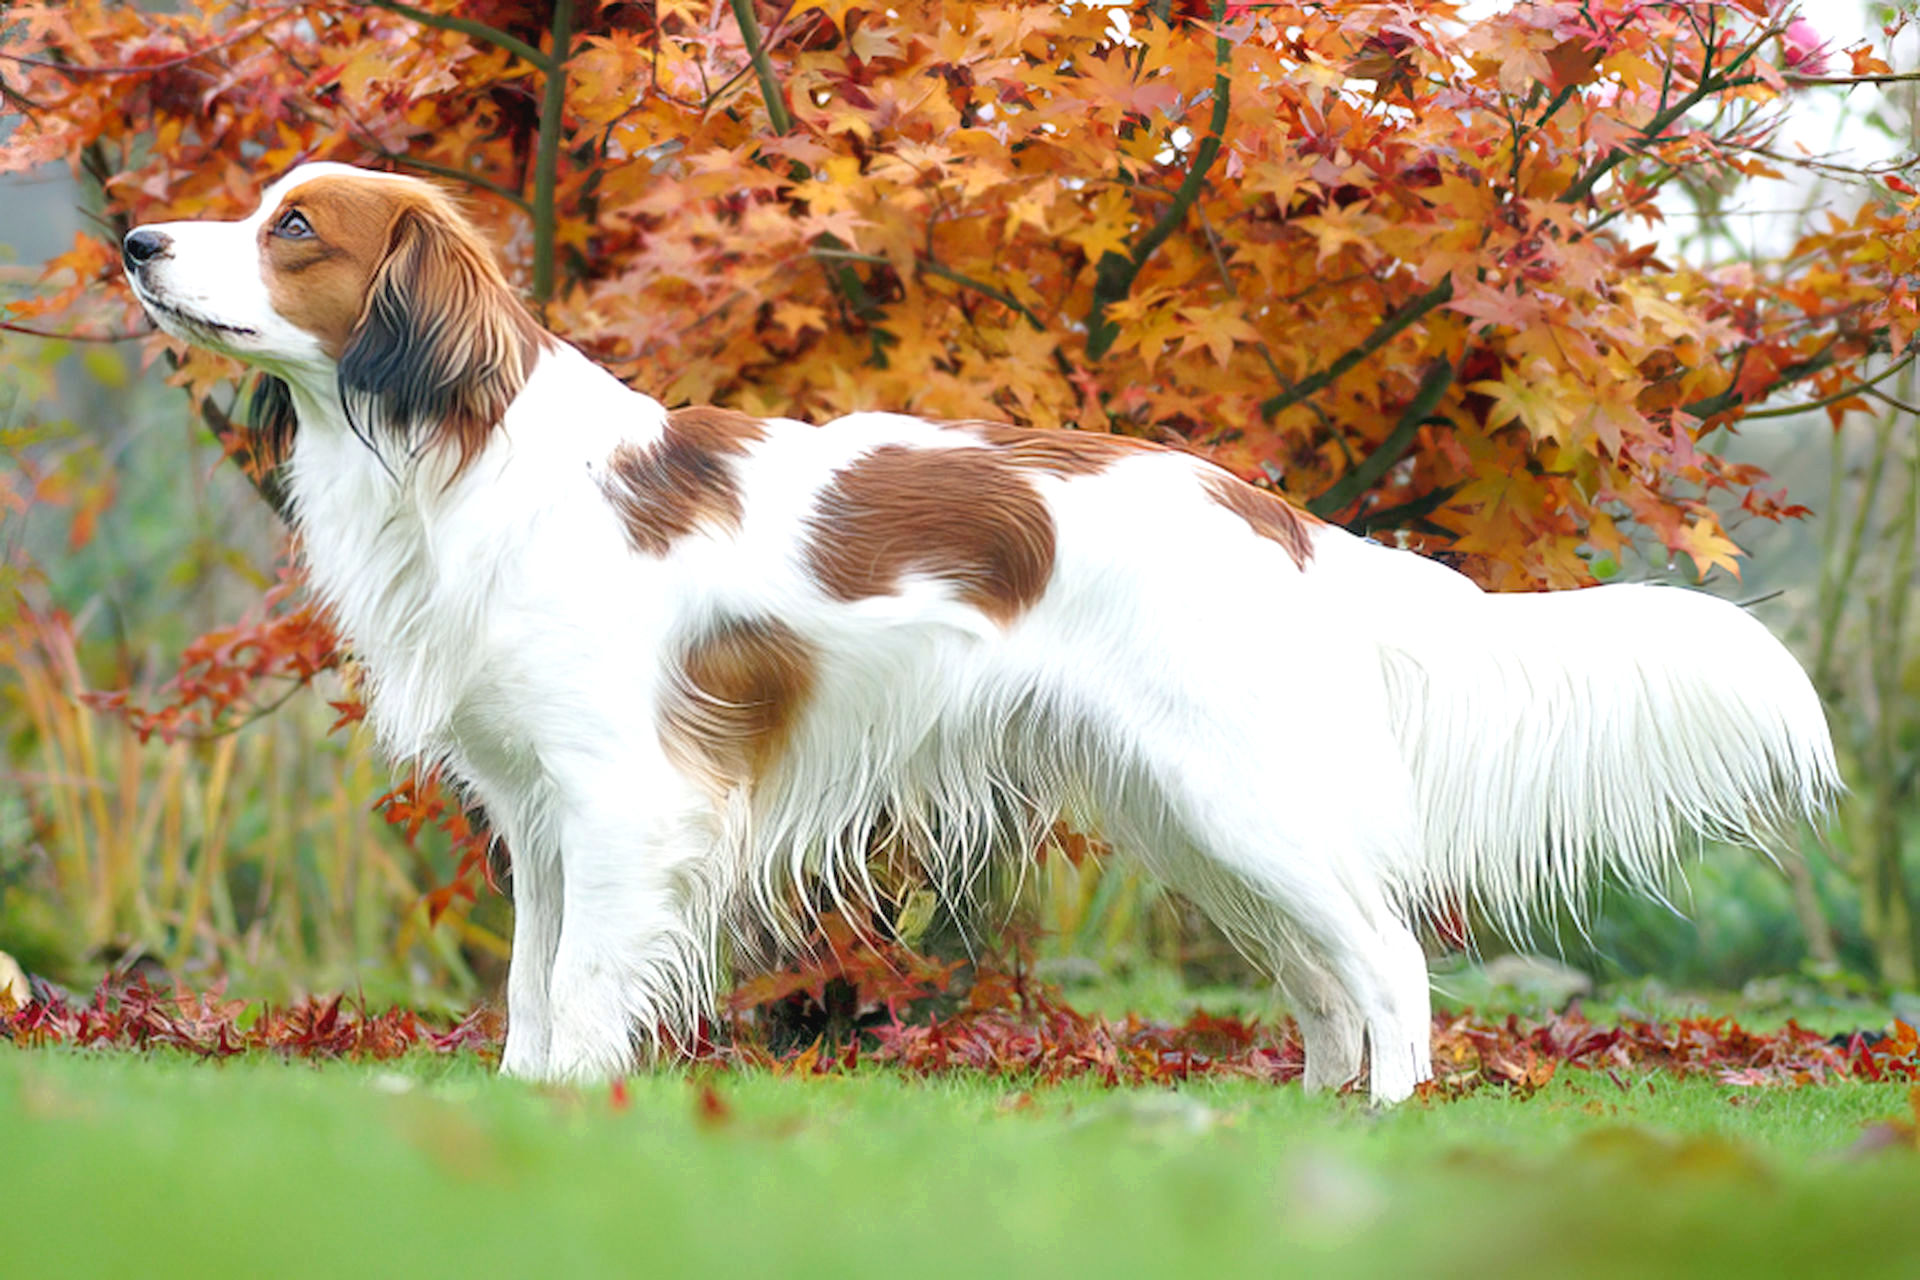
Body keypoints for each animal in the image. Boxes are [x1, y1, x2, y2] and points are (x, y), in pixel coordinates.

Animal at [127, 160, 1835, 1105]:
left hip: (1240, 798)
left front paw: (576, 1111)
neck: (466, 459)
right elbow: (538, 990)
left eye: (292, 227)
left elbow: (595, 982)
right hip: (1201, 818)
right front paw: (524, 1101)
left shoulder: (624, 800)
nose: (138, 239)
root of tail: (1275, 513)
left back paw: (1387, 1132)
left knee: (1395, 962)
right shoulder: (540, 816)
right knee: (1328, 975)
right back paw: (1302, 1120)